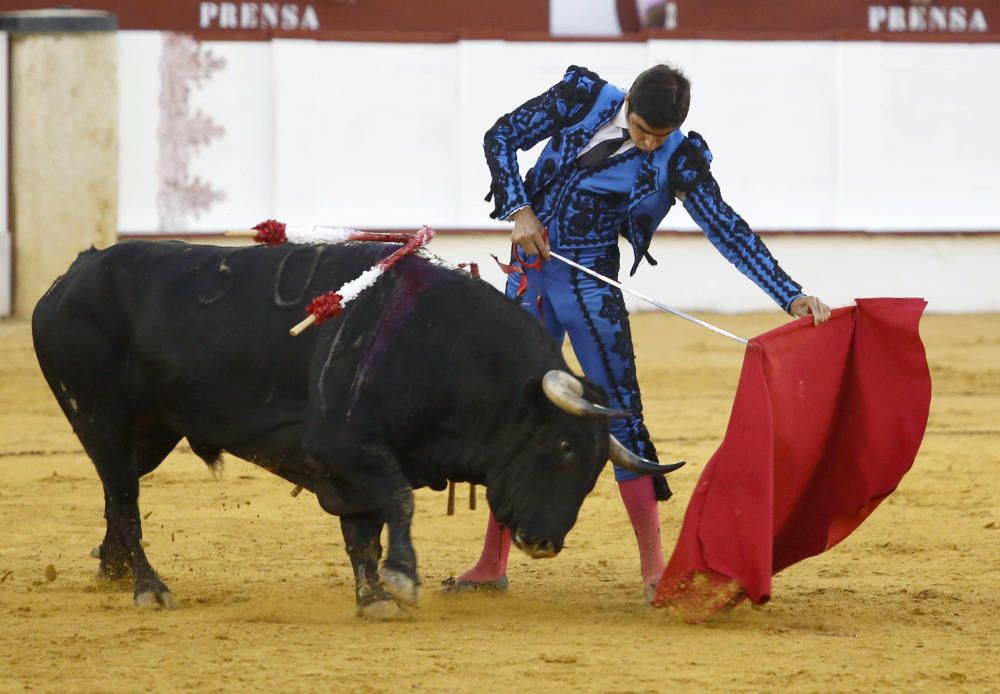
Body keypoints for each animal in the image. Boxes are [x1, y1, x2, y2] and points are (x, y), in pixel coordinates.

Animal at [33, 241, 688, 620]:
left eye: (596, 468)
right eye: (561, 446)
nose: (546, 542)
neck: (439, 345)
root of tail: (76, 271)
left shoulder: (350, 468)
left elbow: (363, 532)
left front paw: (372, 596)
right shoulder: (344, 447)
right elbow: (396, 503)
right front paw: (401, 580)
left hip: (149, 432)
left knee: (116, 497)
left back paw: (112, 570)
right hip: (101, 417)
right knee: (124, 498)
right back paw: (148, 587)